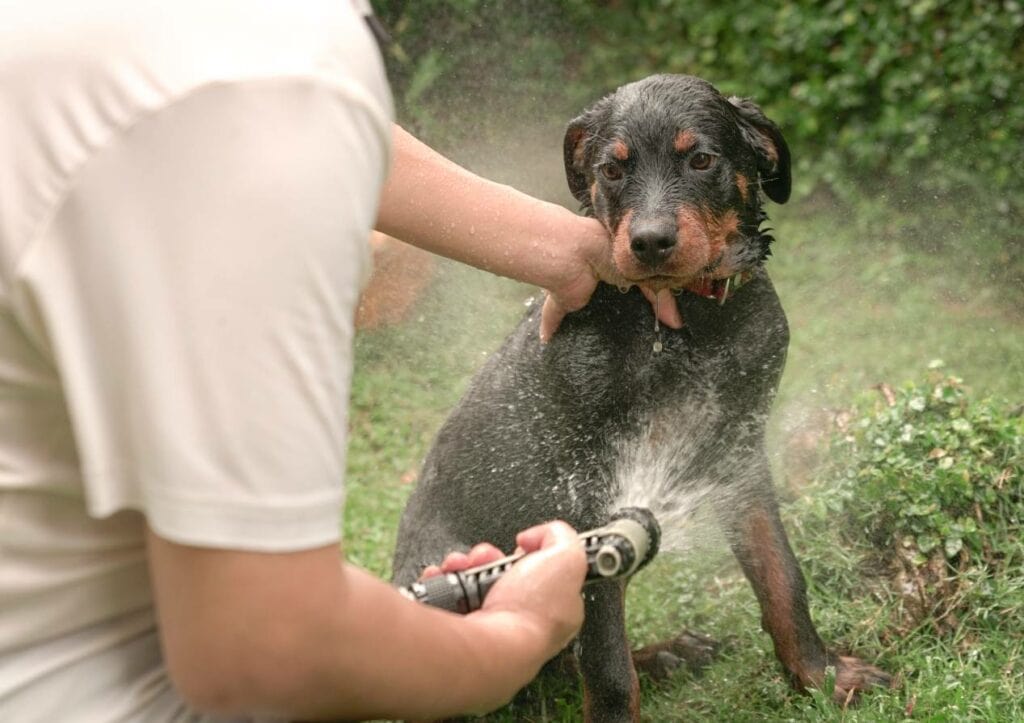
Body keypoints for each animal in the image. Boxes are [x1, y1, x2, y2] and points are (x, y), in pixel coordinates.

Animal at [391, 74, 888, 720]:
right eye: (611, 169)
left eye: (701, 159)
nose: (650, 242)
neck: (690, 323)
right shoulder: (586, 490)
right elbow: (605, 663)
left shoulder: (739, 453)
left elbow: (782, 577)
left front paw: (823, 676)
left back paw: (665, 655)